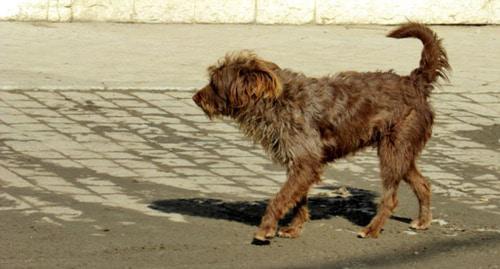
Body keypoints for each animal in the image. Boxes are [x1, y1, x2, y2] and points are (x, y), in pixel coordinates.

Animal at [191, 23, 450, 243]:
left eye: (214, 83)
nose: (195, 97)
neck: (276, 101)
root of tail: (414, 82)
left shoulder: (305, 162)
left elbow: (280, 197)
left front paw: (266, 228)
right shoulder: (300, 164)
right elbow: (297, 199)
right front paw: (294, 228)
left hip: (392, 152)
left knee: (391, 198)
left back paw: (372, 229)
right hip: (400, 152)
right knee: (423, 184)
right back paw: (423, 221)